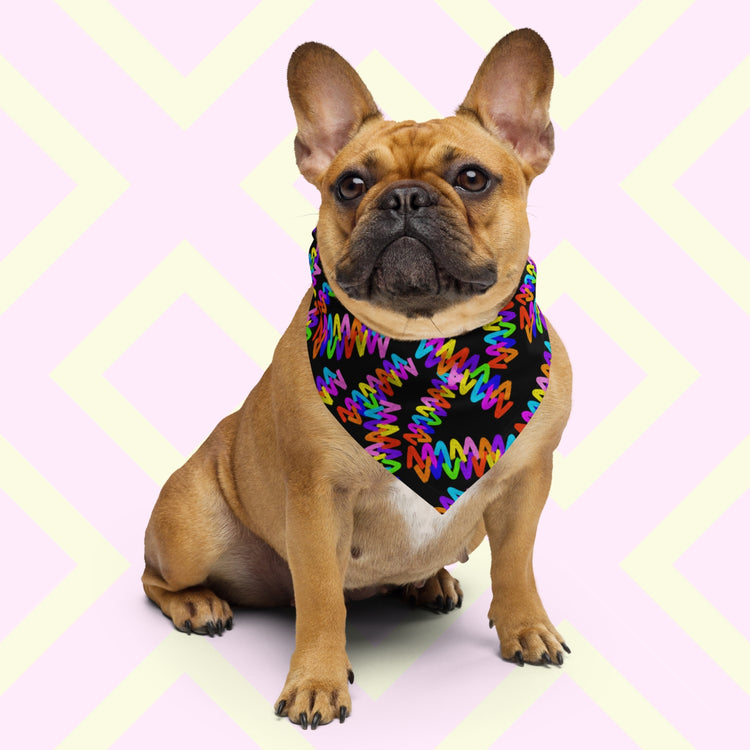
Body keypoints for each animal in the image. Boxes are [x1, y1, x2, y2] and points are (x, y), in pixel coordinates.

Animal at [144, 27, 572, 728]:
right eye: (350, 184)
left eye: (473, 178)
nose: (403, 197)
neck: (428, 354)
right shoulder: (317, 499)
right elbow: (322, 598)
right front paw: (317, 681)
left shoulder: (526, 483)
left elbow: (517, 565)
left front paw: (526, 627)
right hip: (192, 527)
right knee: (158, 578)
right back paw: (199, 604)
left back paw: (430, 580)